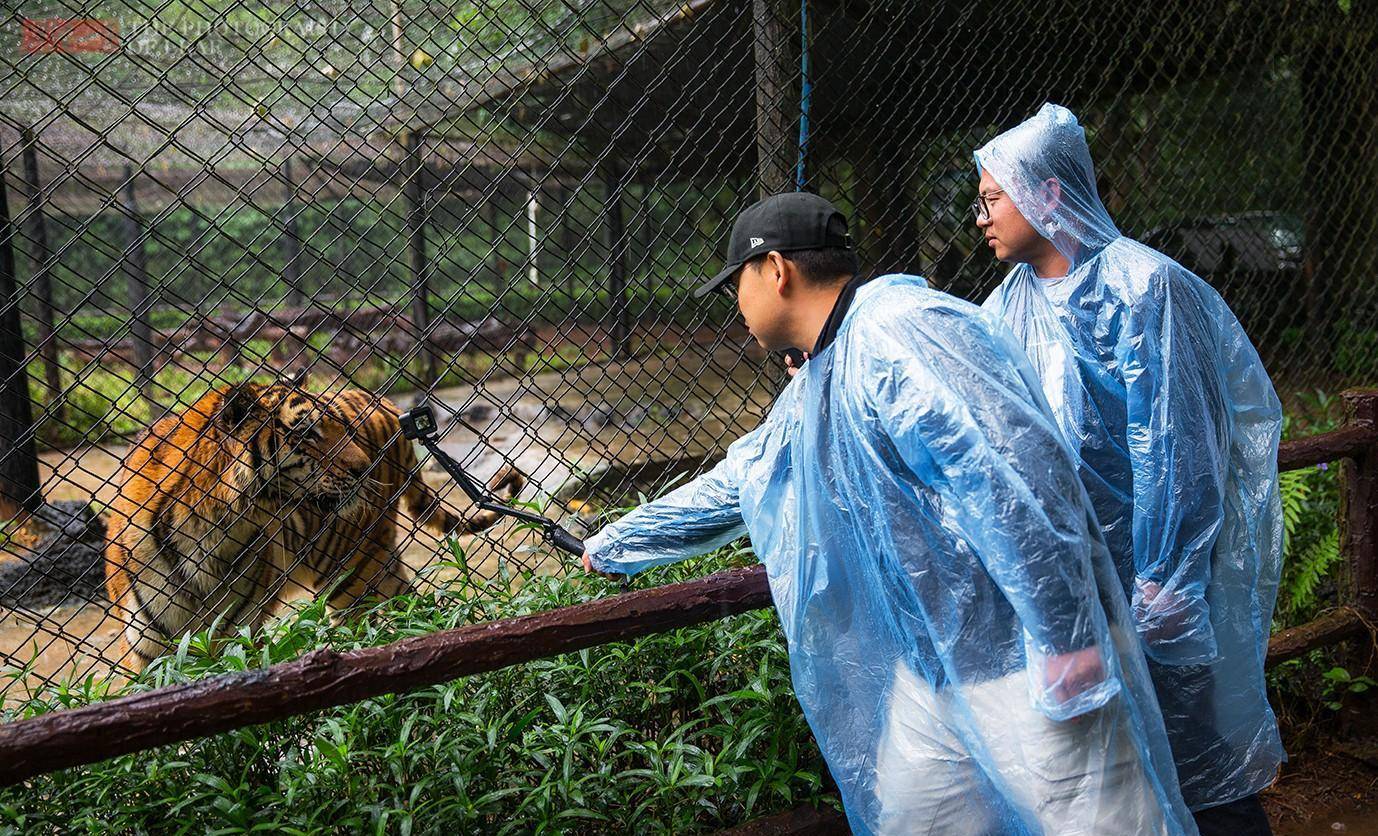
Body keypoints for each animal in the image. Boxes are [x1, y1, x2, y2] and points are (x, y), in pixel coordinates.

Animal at [104, 380, 523, 674]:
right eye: (307, 433)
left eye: (342, 428)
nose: (365, 469)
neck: (214, 529)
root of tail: (387, 404)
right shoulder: (149, 651)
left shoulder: (237, 635)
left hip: (353, 574)